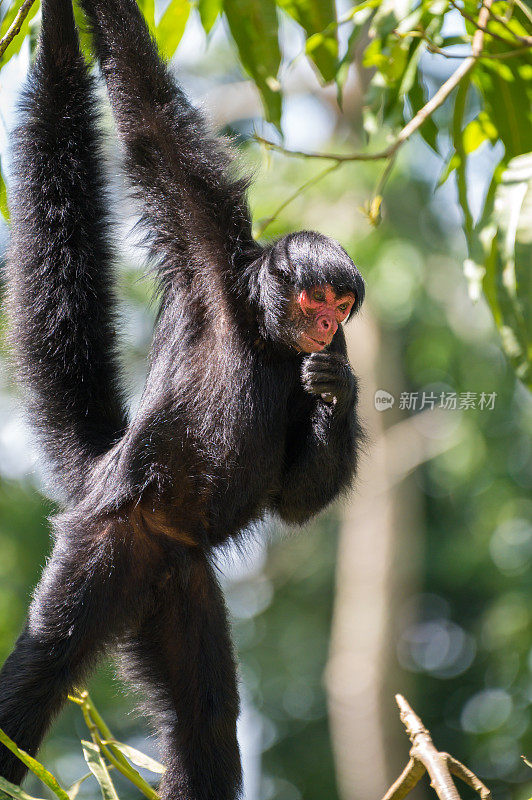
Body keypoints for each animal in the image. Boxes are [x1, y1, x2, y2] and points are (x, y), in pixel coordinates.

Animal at [0, 0, 364, 796]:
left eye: (343, 308)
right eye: (319, 297)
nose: (329, 324)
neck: (260, 333)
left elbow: (295, 499)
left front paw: (339, 393)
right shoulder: (205, 231)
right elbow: (148, 118)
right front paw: (64, 23)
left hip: (180, 581)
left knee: (204, 722)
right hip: (111, 539)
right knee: (46, 659)